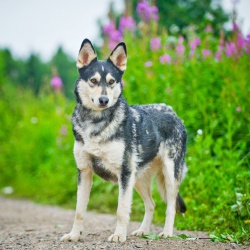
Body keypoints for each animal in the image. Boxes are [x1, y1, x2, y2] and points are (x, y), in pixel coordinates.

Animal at [60, 38, 187, 242]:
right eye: (93, 80)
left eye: (112, 81)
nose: (104, 100)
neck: (96, 123)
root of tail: (173, 113)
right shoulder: (84, 171)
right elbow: (79, 211)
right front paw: (74, 235)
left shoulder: (125, 173)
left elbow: (121, 210)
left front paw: (119, 235)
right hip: (139, 178)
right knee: (151, 204)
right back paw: (143, 230)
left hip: (168, 174)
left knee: (170, 206)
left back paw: (167, 232)